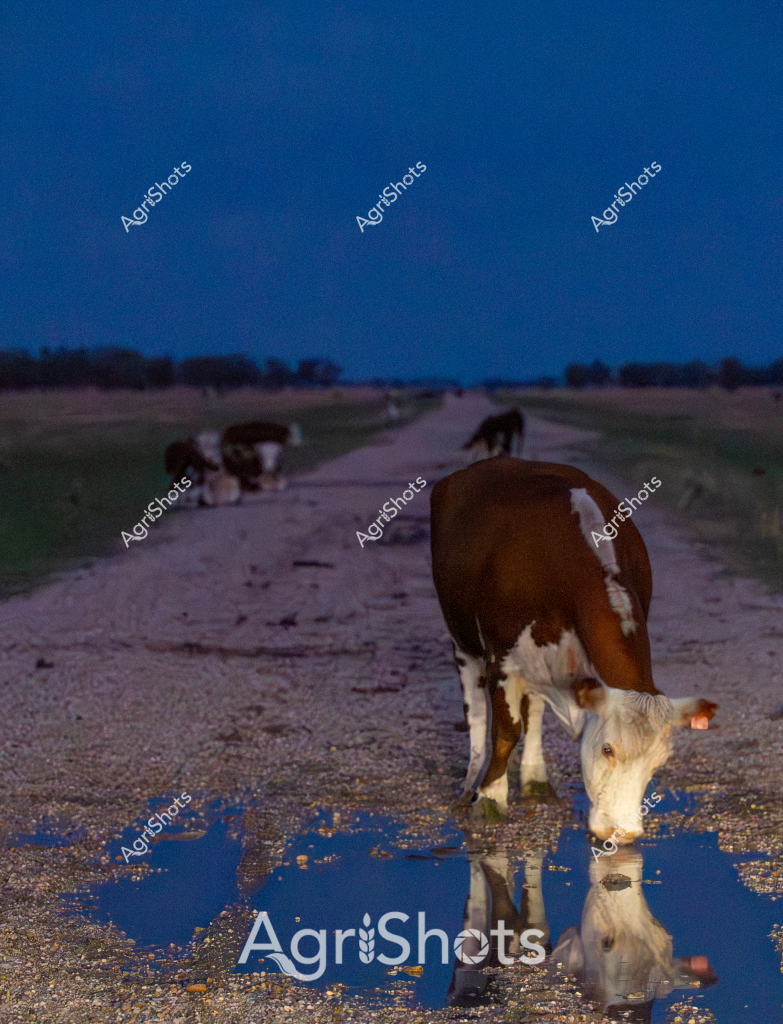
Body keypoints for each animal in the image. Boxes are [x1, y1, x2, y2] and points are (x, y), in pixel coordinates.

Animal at [430, 456, 717, 840]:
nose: (624, 832)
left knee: (534, 711)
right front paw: (490, 798)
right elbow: (504, 732)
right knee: (475, 711)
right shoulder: (501, 658)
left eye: (659, 761)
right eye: (608, 748)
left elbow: (527, 719)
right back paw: (470, 782)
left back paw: (535, 780)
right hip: (461, 638)